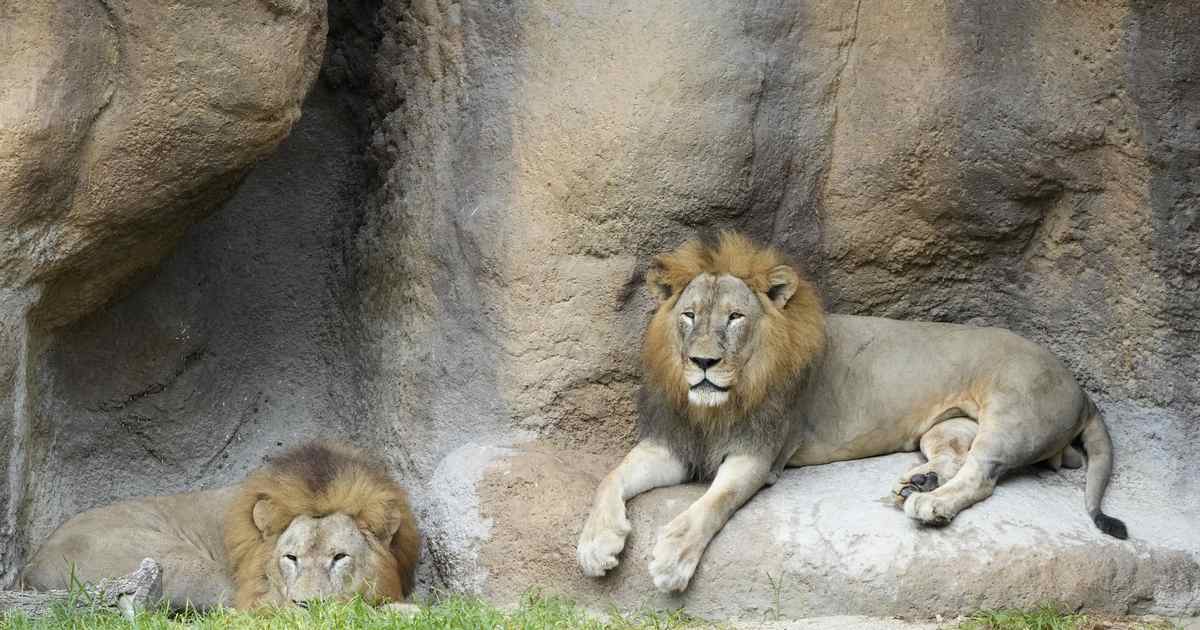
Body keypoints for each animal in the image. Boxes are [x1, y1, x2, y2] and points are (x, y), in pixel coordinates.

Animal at [577, 231, 1127, 593]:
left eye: (735, 318)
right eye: (690, 316)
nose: (703, 363)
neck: (718, 406)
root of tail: (1081, 388)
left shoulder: (759, 454)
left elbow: (713, 503)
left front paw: (673, 557)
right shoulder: (672, 443)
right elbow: (609, 478)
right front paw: (596, 544)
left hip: (1013, 417)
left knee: (982, 476)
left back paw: (930, 503)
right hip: (945, 427)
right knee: (956, 457)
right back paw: (919, 482)